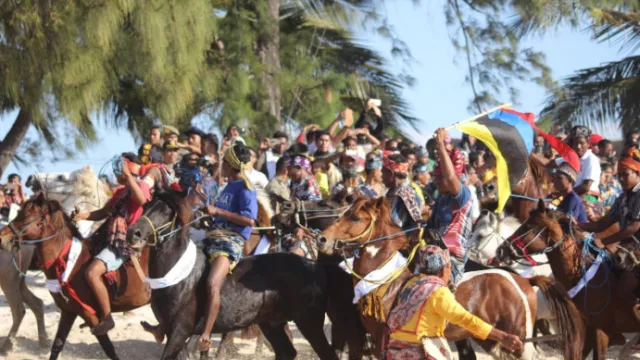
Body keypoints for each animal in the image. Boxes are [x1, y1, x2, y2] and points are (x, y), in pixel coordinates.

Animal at [0, 194, 150, 360]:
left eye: (26, 216)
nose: (2, 237)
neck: (67, 261)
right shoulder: (68, 311)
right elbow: (57, 345)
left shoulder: (90, 316)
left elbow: (109, 349)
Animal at [316, 197, 584, 360]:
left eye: (355, 218)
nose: (322, 239)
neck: (387, 281)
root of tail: (524, 282)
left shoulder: (379, 337)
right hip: (497, 340)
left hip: (520, 340)